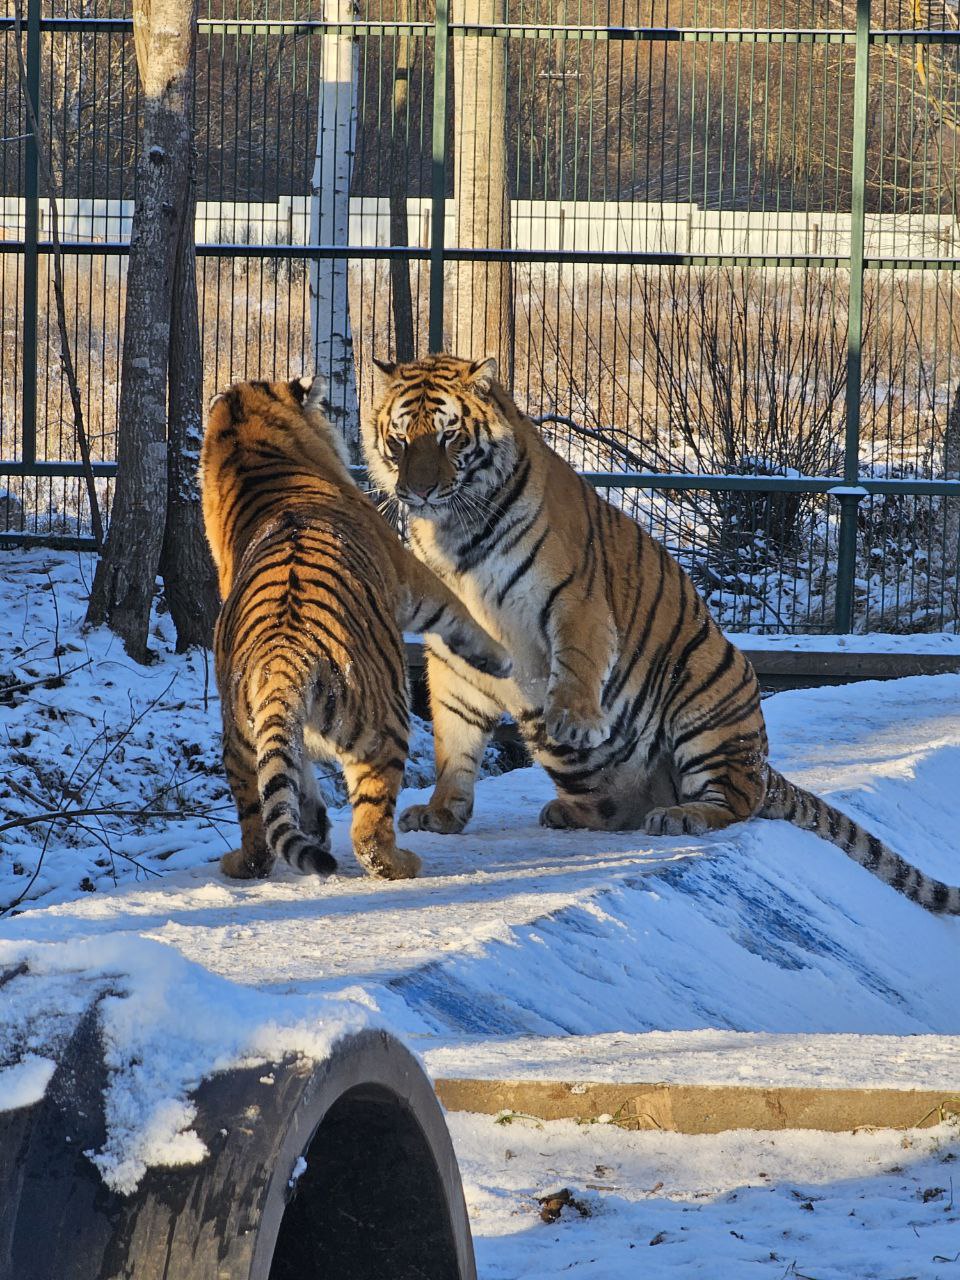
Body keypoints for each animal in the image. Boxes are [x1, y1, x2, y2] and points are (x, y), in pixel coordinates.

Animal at [200, 373, 512, 885]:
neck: (252, 449)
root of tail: (284, 656)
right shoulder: (411, 575)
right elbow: (459, 614)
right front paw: (500, 659)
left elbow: (297, 772)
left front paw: (312, 821)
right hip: (384, 726)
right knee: (369, 832)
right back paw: (401, 862)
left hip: (241, 738)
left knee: (260, 824)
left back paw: (252, 857)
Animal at [363, 350, 960, 911]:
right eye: (400, 439)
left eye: (449, 436)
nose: (418, 491)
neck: (455, 533)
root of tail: (765, 766)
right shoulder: (453, 647)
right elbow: (455, 734)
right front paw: (441, 812)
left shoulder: (574, 596)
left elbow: (576, 660)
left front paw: (573, 719)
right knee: (622, 807)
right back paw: (573, 811)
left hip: (710, 699)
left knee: (738, 801)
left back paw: (682, 815)